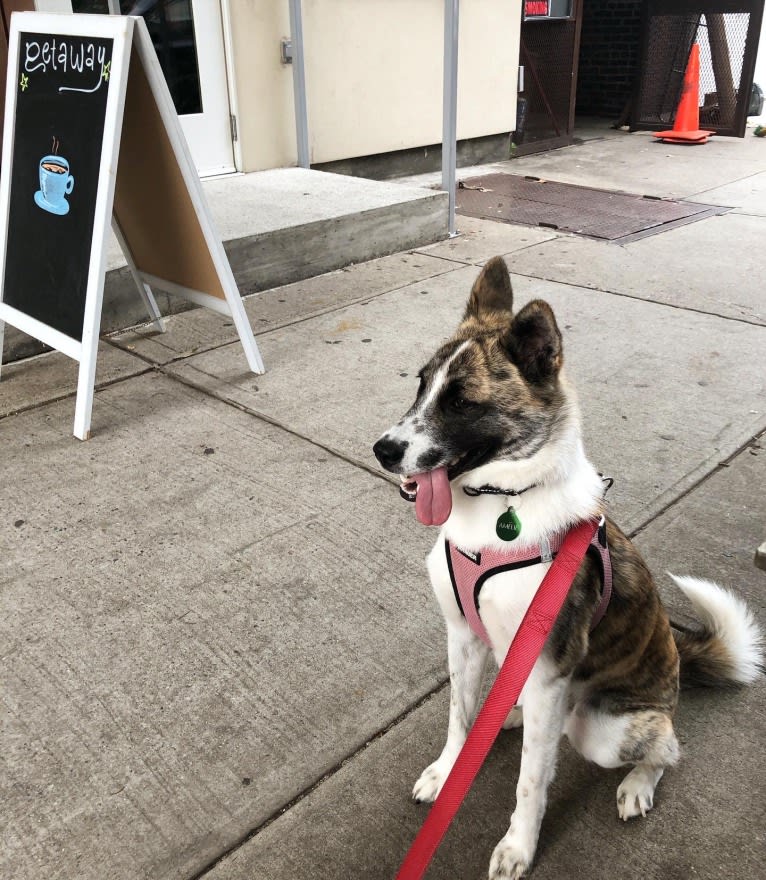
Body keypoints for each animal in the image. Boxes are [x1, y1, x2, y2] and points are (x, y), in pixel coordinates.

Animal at [376, 258, 764, 880]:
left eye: (461, 402)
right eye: (421, 385)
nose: (383, 450)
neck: (500, 503)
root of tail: (678, 666)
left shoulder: (548, 666)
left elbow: (531, 780)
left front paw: (519, 844)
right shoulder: (463, 636)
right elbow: (459, 716)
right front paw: (448, 769)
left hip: (606, 726)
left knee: (665, 746)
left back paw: (637, 783)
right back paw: (507, 718)